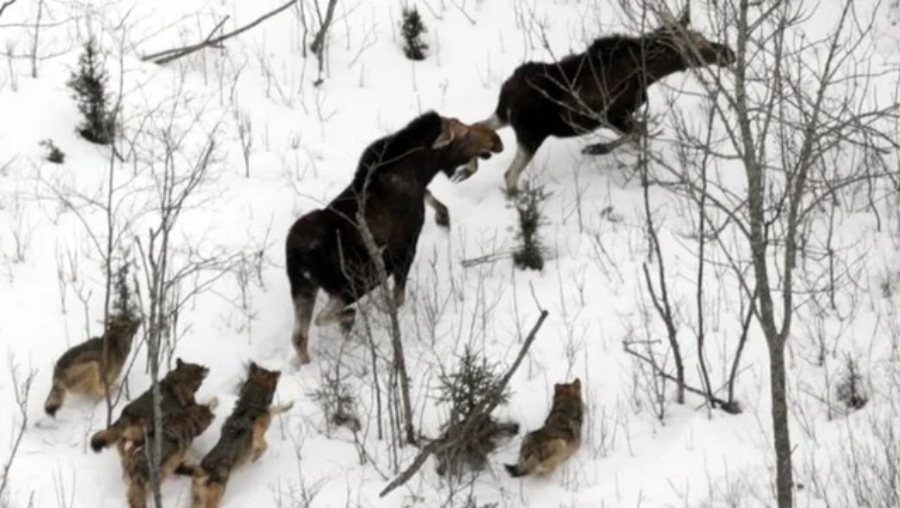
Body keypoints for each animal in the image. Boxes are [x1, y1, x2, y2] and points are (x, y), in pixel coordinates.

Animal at [177, 362, 293, 508]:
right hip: (215, 498)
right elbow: (264, 446)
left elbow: (275, 409)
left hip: (197, 501)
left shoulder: (267, 414)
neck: (251, 403)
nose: (279, 371)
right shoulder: (258, 437)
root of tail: (201, 472)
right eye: (270, 372)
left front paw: (289, 405)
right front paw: (255, 457)